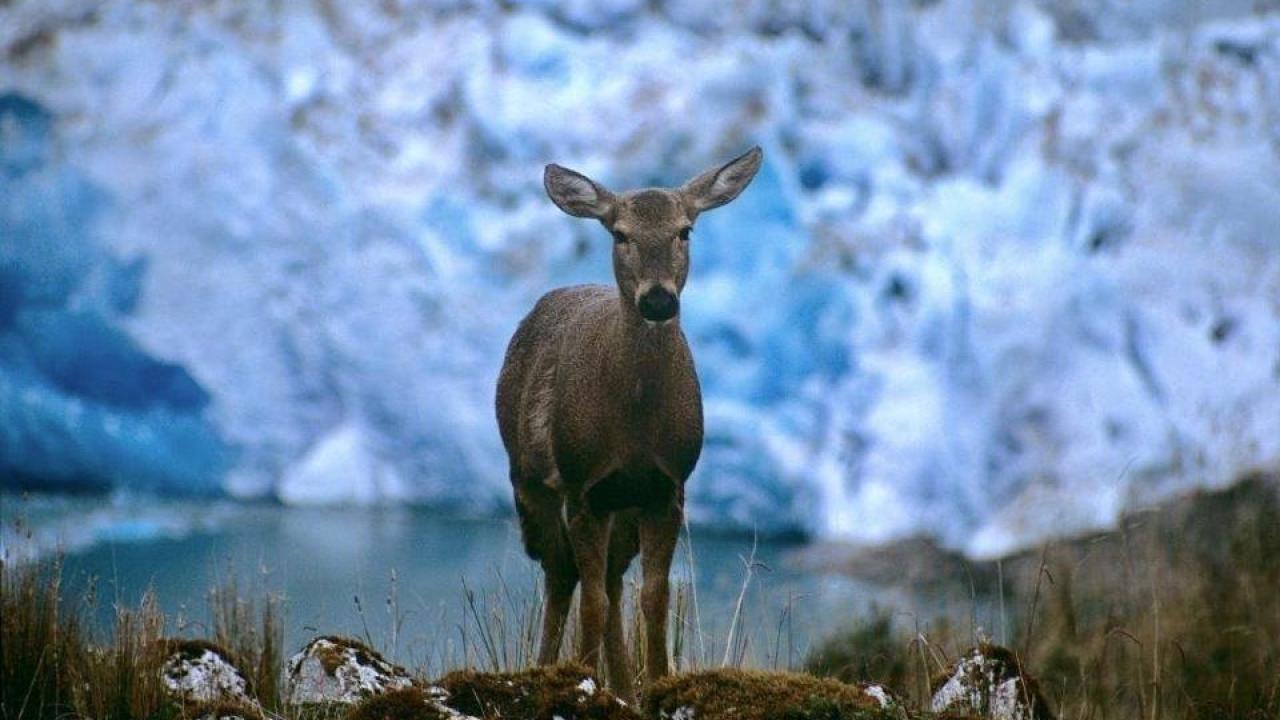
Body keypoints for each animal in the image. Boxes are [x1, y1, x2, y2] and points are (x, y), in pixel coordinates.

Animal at [494, 144, 762, 696]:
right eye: (619, 234)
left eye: (685, 230)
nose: (658, 299)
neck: (635, 428)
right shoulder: (583, 486)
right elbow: (590, 601)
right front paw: (581, 679)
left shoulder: (668, 486)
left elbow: (654, 599)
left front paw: (656, 684)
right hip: (530, 481)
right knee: (562, 575)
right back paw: (550, 668)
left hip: (623, 510)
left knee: (613, 582)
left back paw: (621, 685)